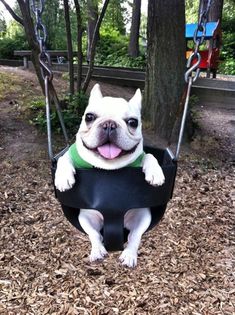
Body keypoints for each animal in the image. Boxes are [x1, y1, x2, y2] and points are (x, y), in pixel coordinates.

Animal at [55, 84, 165, 270]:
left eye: (133, 122)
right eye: (89, 117)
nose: (109, 124)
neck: (108, 166)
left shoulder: (142, 156)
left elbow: (149, 156)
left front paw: (155, 173)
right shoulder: (71, 154)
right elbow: (64, 158)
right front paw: (63, 178)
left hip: (143, 217)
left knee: (134, 236)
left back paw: (128, 255)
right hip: (86, 218)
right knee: (95, 234)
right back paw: (98, 251)